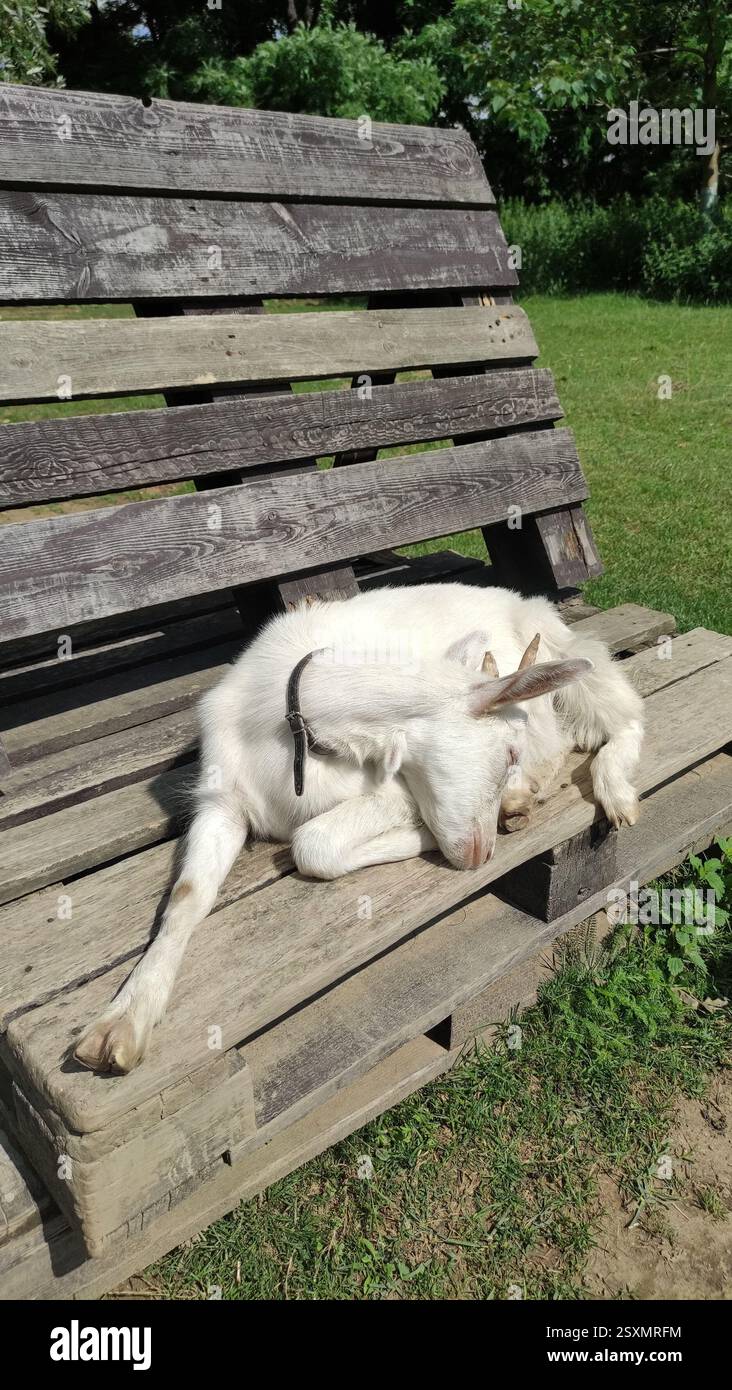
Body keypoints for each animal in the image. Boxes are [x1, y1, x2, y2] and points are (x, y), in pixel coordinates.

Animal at [75, 583, 643, 1073]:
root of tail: (526, 601)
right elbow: (187, 895)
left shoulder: (393, 788)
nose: (482, 855)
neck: (296, 730)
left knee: (623, 719)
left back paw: (599, 792)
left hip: (578, 664)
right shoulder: (222, 801)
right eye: (505, 753)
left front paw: (424, 836)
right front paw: (122, 1021)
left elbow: (311, 843)